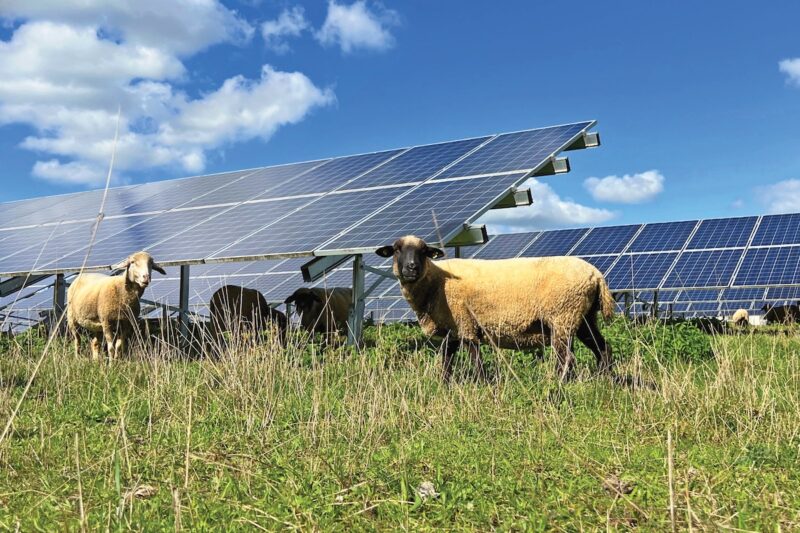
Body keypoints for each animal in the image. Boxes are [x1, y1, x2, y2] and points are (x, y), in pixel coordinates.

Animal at [378, 235, 616, 380]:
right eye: (397, 250)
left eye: (424, 251)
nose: (411, 268)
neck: (436, 282)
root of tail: (597, 275)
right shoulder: (452, 330)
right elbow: (446, 361)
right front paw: (445, 385)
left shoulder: (465, 324)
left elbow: (476, 360)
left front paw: (483, 385)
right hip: (583, 317)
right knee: (603, 348)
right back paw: (605, 379)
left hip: (563, 315)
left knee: (566, 358)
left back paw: (556, 385)